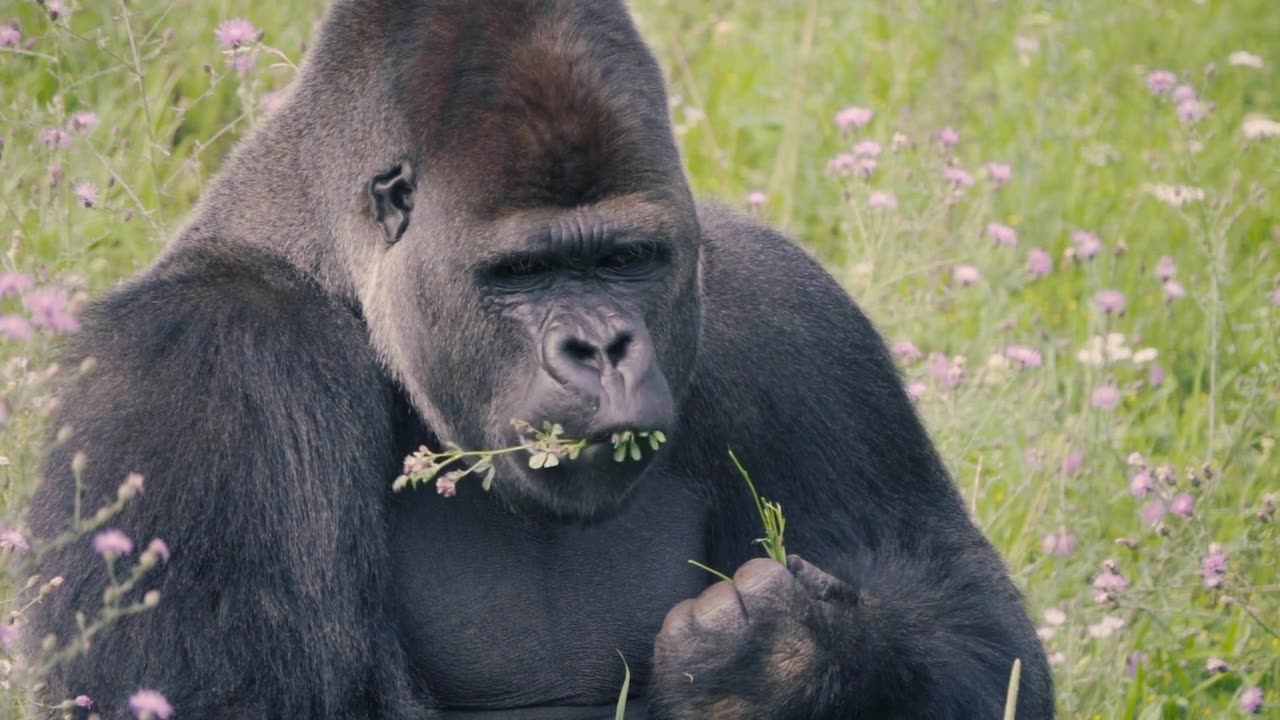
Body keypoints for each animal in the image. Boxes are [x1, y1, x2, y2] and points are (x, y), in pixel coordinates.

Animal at [24, 0, 1054, 712]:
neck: (330, 264)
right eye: (522, 272)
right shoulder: (204, 368)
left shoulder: (793, 315)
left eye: (627, 259)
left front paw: (791, 663)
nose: (599, 348)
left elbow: (982, 637)